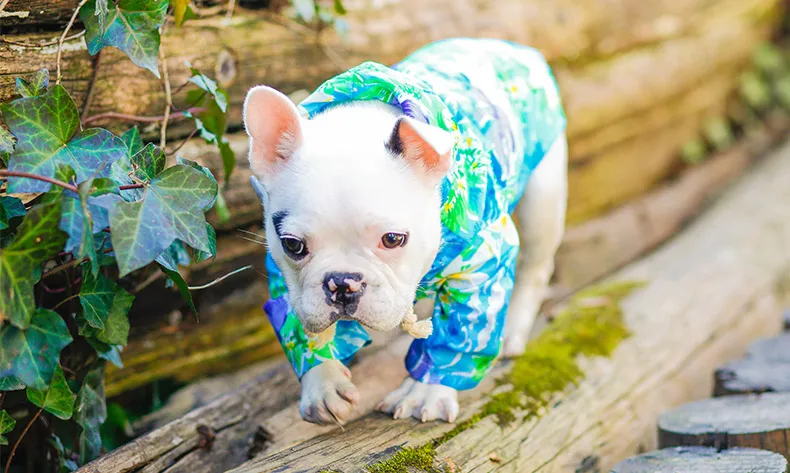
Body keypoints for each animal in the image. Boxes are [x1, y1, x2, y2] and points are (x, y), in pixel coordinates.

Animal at [243, 38, 567, 425]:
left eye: (393, 239)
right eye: (292, 245)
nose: (342, 283)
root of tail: (507, 46)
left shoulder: (483, 259)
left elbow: (455, 334)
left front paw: (424, 391)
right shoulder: (284, 278)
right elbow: (299, 324)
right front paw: (322, 382)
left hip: (543, 195)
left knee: (536, 264)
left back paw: (514, 330)